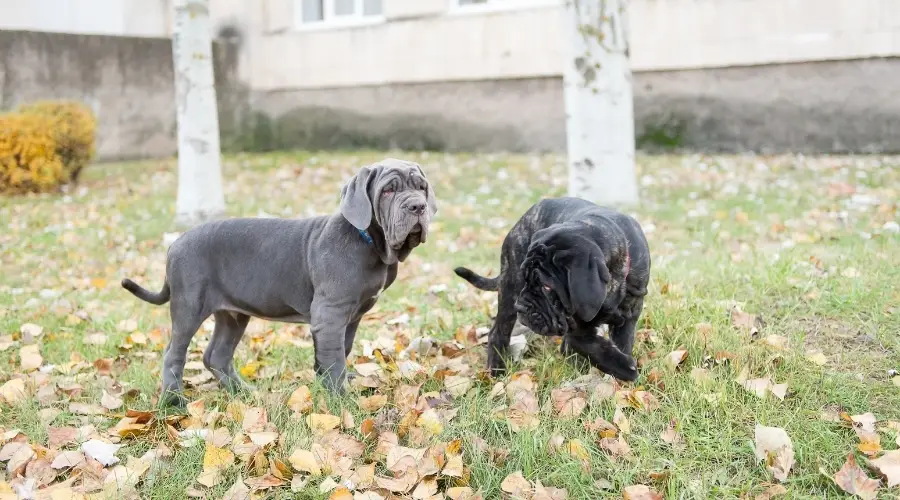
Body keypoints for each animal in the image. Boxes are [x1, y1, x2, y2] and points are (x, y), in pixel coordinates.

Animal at [121, 158, 438, 404]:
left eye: (421, 187)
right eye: (388, 190)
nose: (417, 207)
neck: (370, 242)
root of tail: (174, 244)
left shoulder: (351, 317)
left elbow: (338, 353)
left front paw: (325, 389)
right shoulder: (330, 314)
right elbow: (335, 359)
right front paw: (341, 403)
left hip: (233, 314)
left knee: (216, 355)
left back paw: (243, 393)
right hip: (189, 306)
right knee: (174, 353)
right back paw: (174, 402)